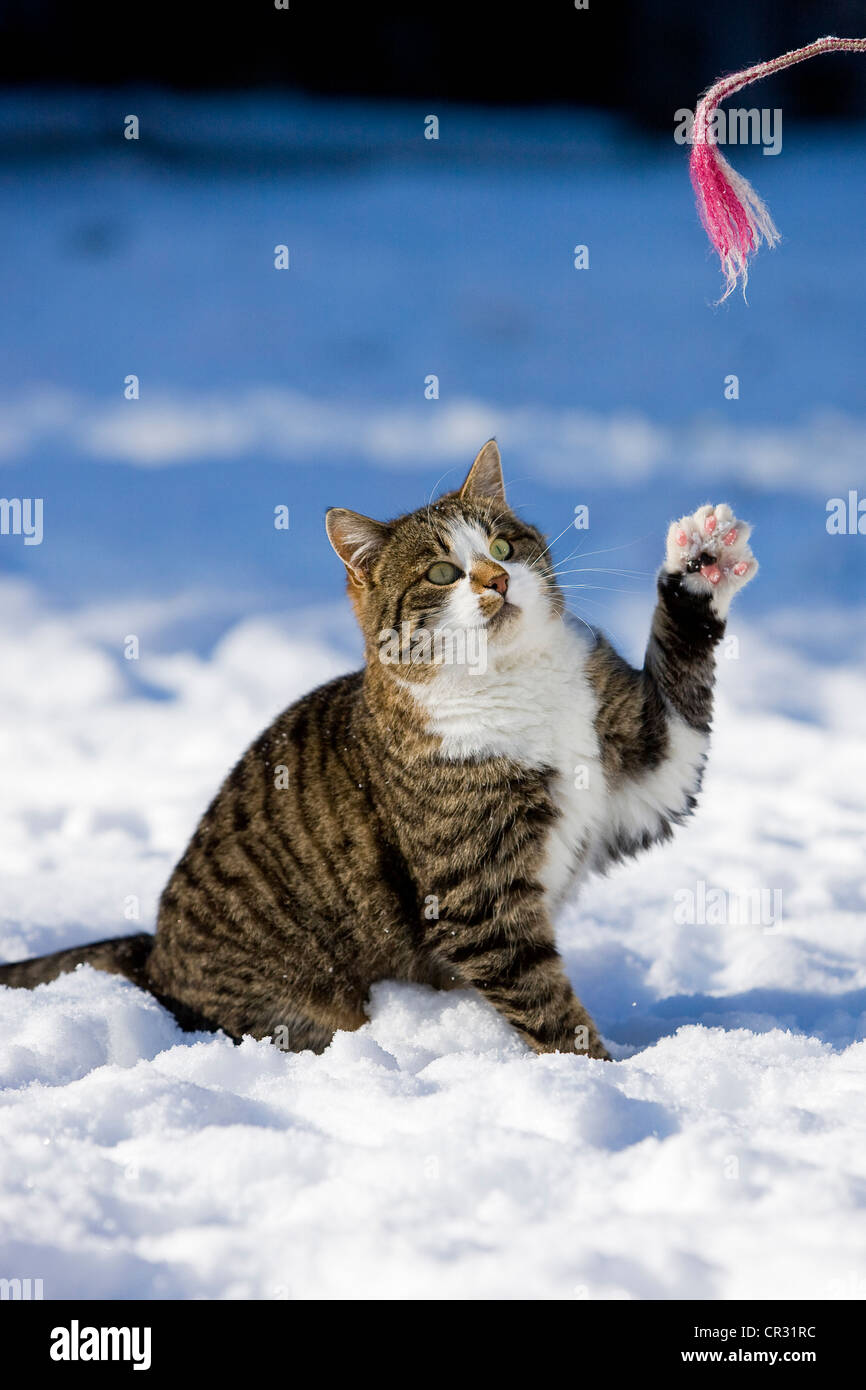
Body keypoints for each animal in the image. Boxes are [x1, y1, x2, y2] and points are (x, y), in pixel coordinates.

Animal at [0, 439, 756, 1056]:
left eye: (504, 548)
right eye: (442, 574)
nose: (497, 580)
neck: (518, 682)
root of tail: (154, 957)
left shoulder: (642, 771)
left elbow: (680, 713)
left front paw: (701, 564)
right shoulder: (477, 898)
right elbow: (545, 1001)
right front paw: (611, 1078)